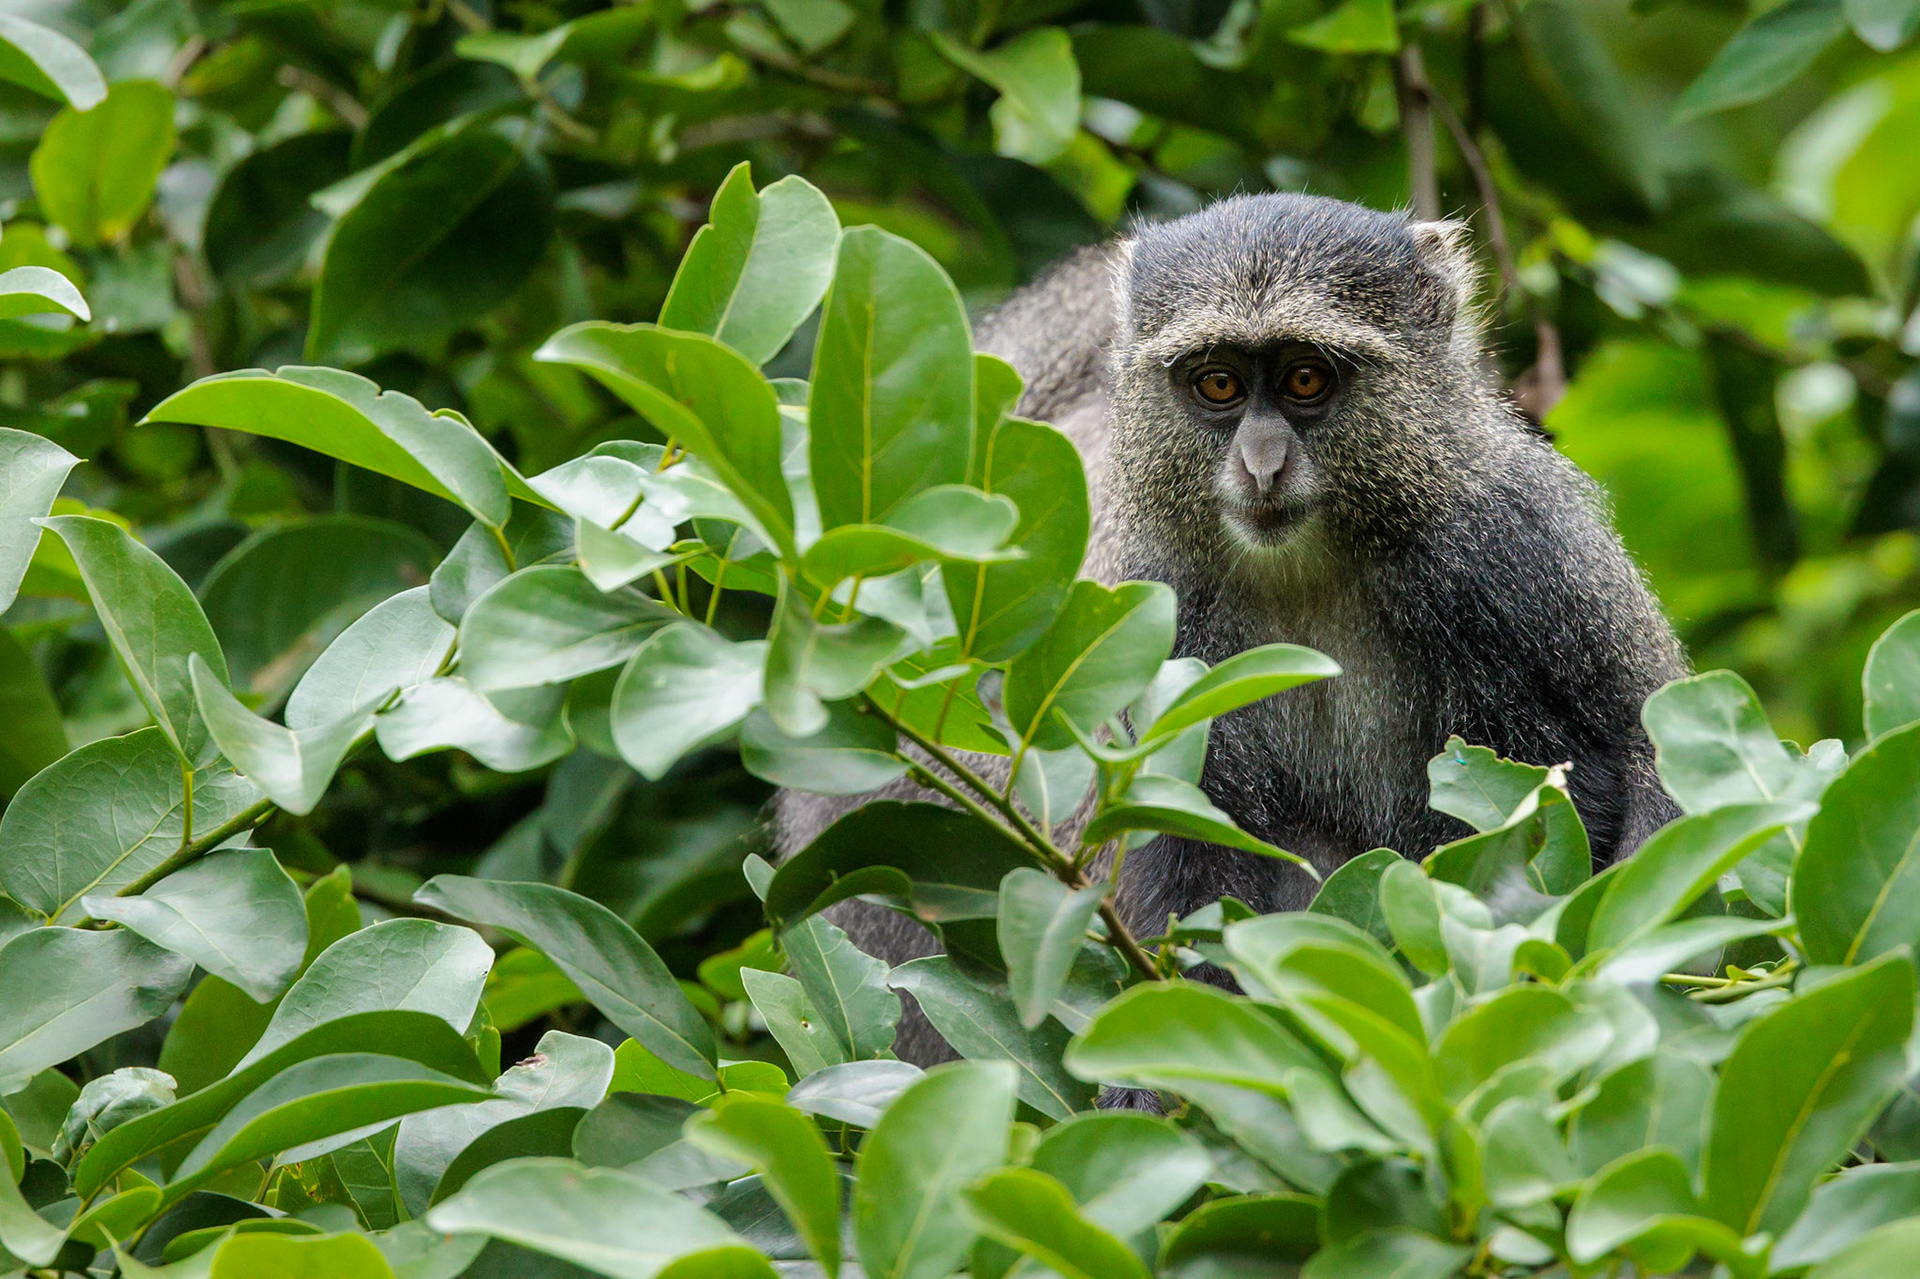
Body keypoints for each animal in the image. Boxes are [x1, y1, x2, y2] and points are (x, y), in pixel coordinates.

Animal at [774, 192, 1688, 1063]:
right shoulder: (1161, 612)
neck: (1310, 572)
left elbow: (1641, 765)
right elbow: (1189, 876)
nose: (1261, 464)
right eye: (1217, 385)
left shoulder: (1515, 550)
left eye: (1306, 380)